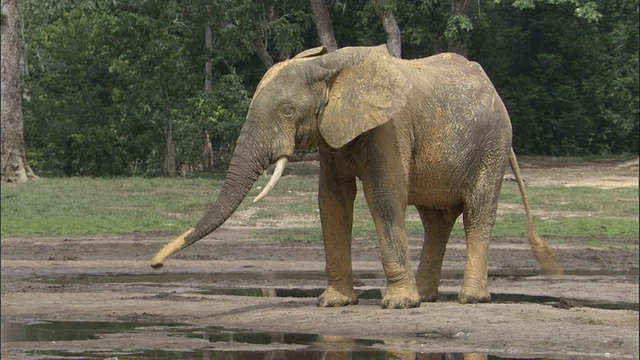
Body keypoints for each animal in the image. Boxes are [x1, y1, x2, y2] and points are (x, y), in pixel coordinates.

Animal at [151, 44, 560, 310]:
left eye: (287, 111)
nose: (155, 265)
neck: (329, 65)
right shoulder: (333, 134)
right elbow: (332, 200)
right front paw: (334, 303)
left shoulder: (389, 128)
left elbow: (384, 197)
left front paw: (398, 306)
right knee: (436, 220)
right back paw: (426, 296)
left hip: (492, 146)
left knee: (477, 211)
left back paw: (469, 299)